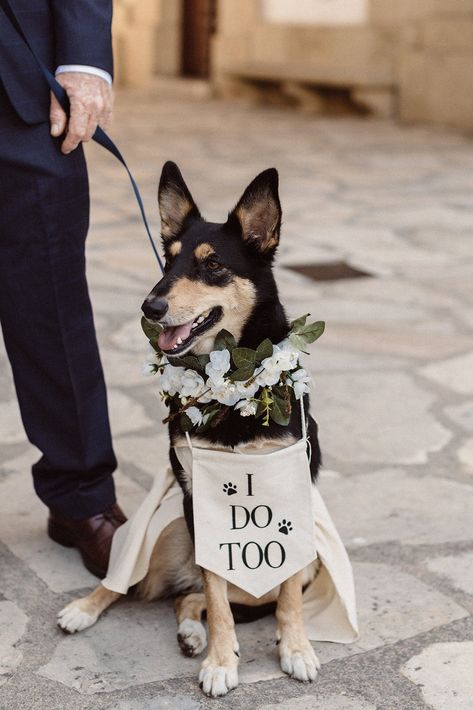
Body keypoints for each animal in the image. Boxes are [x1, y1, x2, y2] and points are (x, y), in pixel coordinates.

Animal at [55, 163, 320, 700]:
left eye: (212, 264)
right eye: (168, 260)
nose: (150, 306)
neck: (231, 379)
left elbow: (283, 595)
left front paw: (295, 648)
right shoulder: (200, 504)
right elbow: (216, 596)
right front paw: (220, 662)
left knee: (190, 597)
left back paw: (194, 632)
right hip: (168, 528)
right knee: (139, 583)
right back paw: (86, 609)